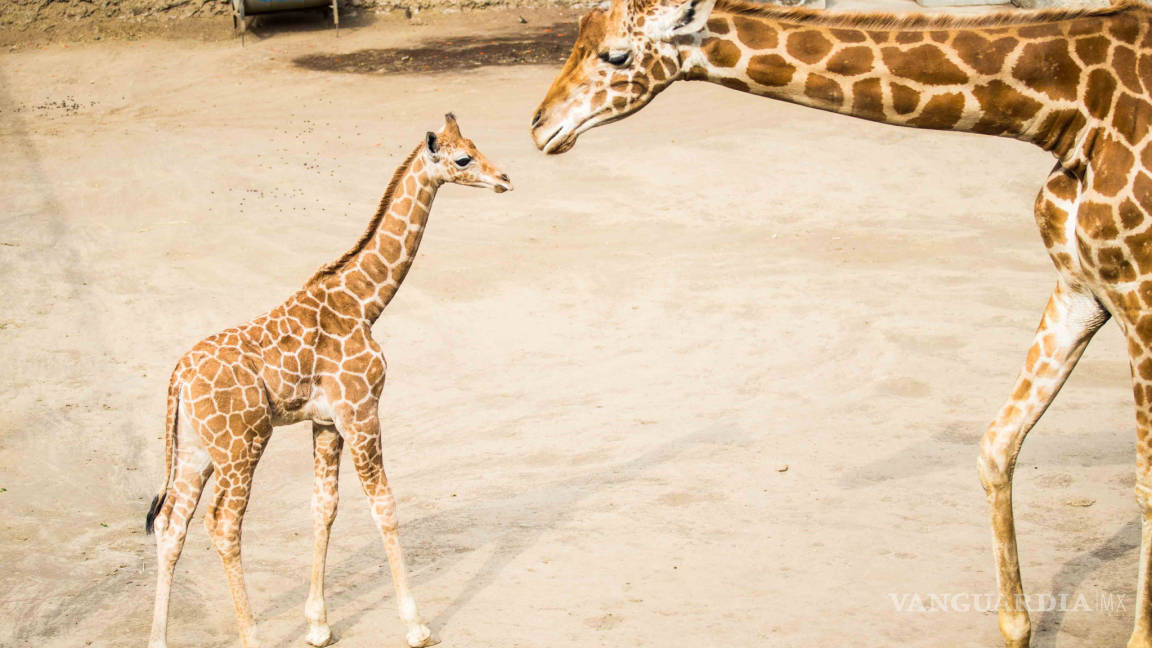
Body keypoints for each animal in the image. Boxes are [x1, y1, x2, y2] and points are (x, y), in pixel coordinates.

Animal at [145, 113, 513, 645]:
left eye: (475, 145)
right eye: (463, 158)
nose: (504, 178)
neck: (364, 302)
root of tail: (177, 379)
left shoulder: (325, 422)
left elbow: (324, 507)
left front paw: (318, 624)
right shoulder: (361, 410)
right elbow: (384, 506)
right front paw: (416, 624)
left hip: (194, 448)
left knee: (172, 524)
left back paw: (159, 637)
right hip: (241, 445)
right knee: (224, 524)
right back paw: (252, 635)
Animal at [534, 1, 1152, 645]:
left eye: (616, 55)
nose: (538, 126)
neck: (1068, 111)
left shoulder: (1139, 292)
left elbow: (1145, 486)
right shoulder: (1082, 288)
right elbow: (995, 446)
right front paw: (1016, 628)